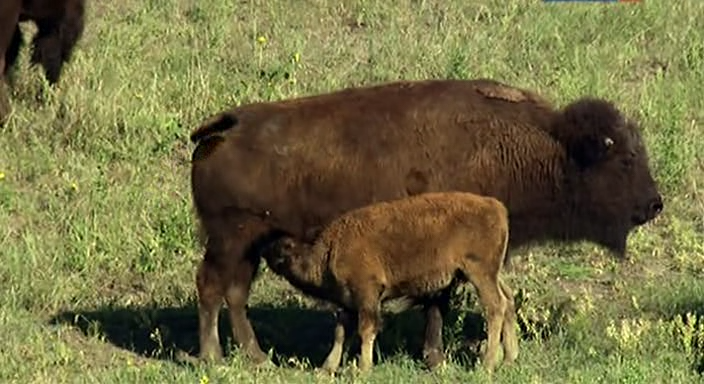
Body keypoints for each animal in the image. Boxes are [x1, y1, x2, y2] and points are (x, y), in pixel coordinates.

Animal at [258, 192, 516, 376]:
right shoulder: (349, 302)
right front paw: (326, 368)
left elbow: (366, 329)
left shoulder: (367, 294)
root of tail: (496, 207)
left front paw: (363, 368)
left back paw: (487, 364)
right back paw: (509, 359)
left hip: (479, 273)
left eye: (287, 246)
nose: (265, 252)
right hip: (491, 274)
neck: (329, 249)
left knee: (496, 306)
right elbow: (341, 332)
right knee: (509, 298)